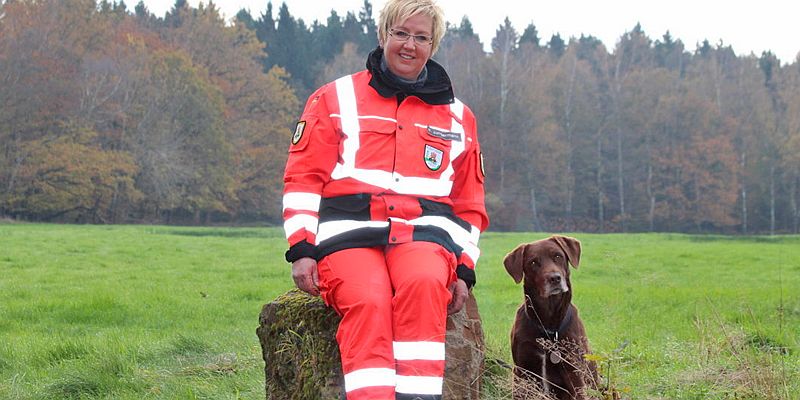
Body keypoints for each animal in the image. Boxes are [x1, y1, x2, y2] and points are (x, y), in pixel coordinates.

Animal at [504, 234, 596, 400]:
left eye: (558, 256)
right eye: (533, 262)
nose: (554, 278)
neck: (548, 324)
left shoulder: (574, 370)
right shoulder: (522, 370)